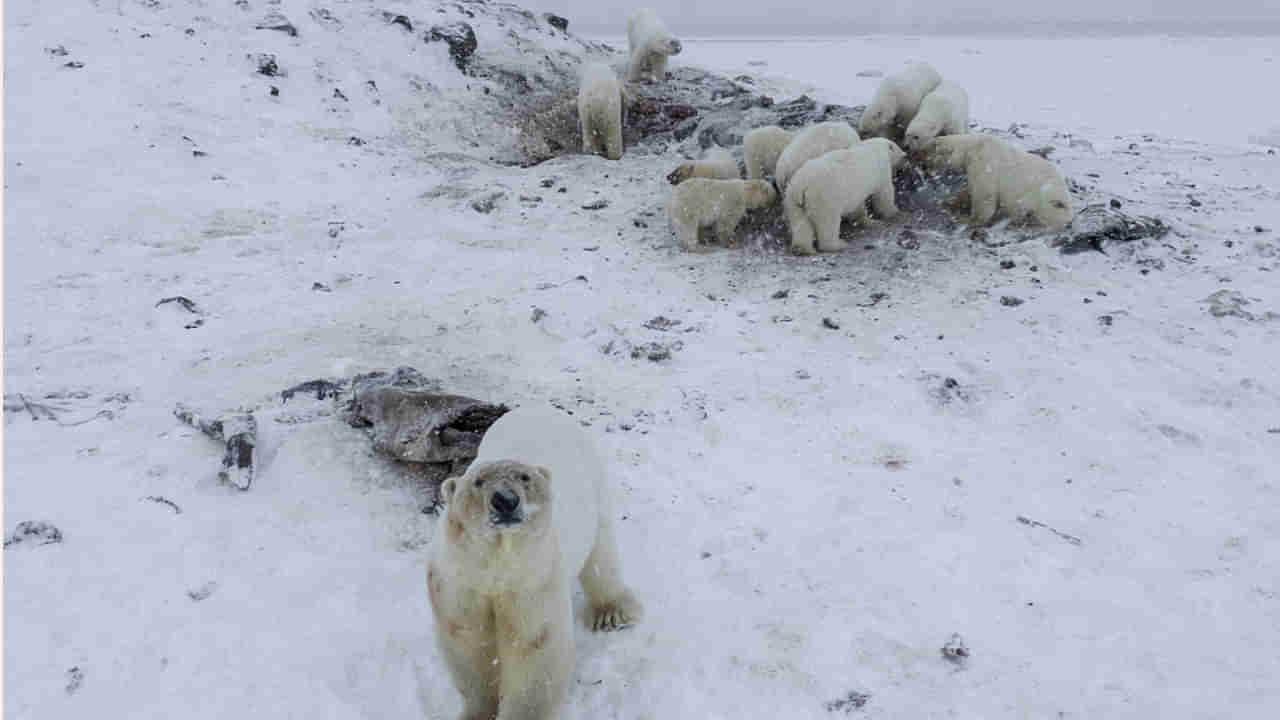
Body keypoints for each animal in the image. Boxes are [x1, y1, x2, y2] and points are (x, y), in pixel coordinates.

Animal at [427, 407, 640, 717]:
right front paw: (477, 712)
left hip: (594, 482)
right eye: (478, 481)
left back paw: (612, 613)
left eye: (524, 477)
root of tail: (538, 408)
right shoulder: (460, 581)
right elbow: (469, 643)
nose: (505, 500)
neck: (497, 562)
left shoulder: (534, 579)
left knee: (601, 552)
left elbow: (534, 648)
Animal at [778, 137, 911, 254]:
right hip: (824, 198)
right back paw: (838, 244)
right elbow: (884, 193)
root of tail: (802, 186)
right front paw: (895, 213)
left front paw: (868, 221)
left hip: (792, 200)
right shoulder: (881, 169)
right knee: (828, 223)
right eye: (901, 154)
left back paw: (802, 249)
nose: (906, 156)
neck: (875, 147)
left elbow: (857, 206)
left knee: (800, 222)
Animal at [916, 132, 1075, 226]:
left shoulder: (984, 163)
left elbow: (984, 196)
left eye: (927, 150)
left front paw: (970, 219)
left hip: (1045, 199)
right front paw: (951, 202)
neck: (973, 147)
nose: (917, 155)